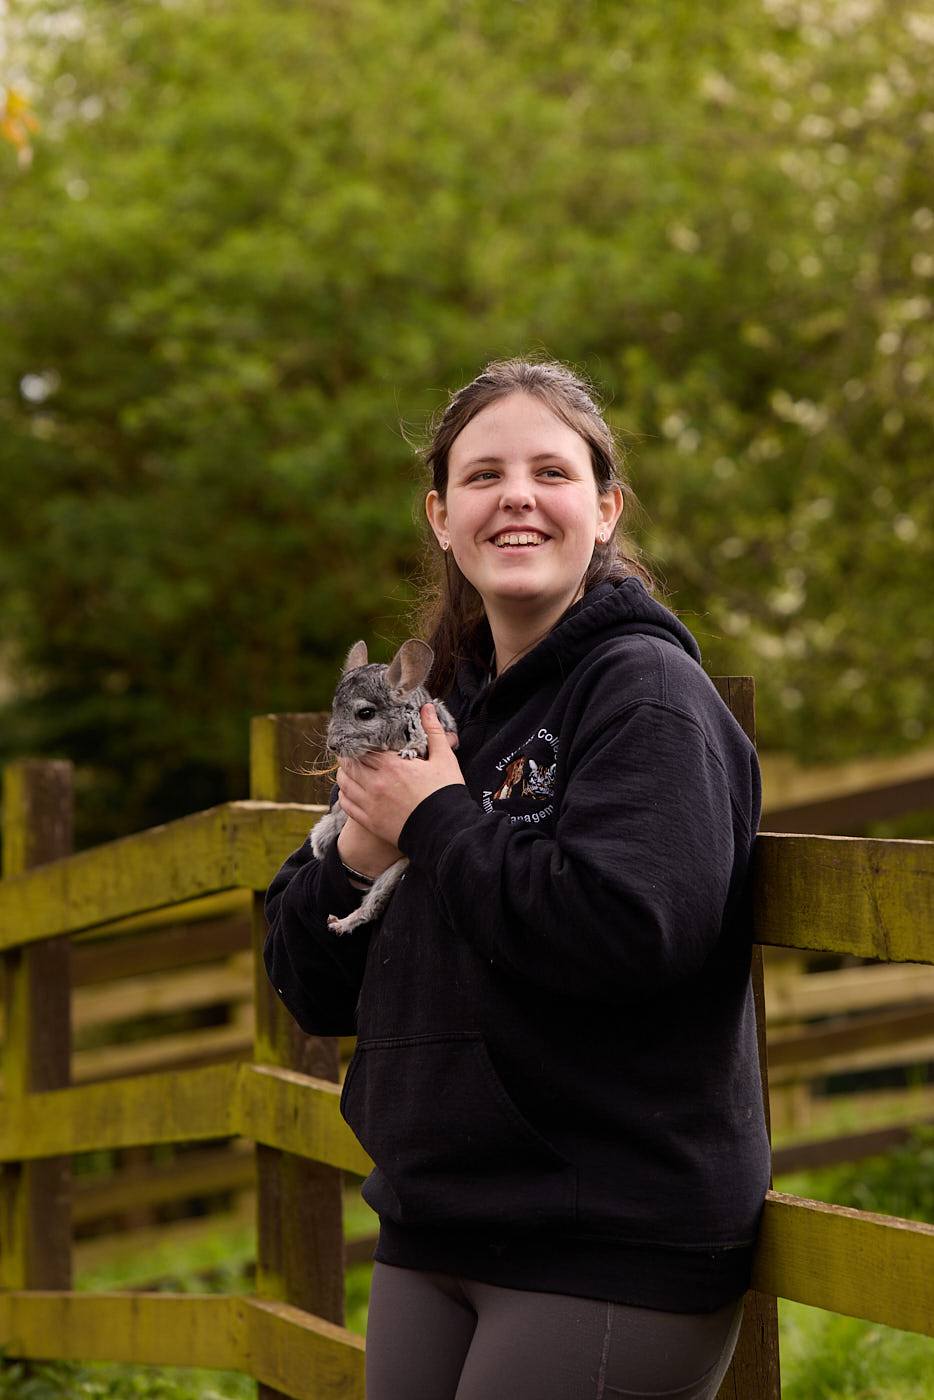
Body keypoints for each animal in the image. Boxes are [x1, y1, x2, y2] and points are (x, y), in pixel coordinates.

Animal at [310, 637, 458, 936]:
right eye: (333, 708)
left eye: (365, 713)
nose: (332, 746)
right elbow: (340, 809)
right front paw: (320, 842)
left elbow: (418, 742)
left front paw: (409, 753)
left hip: (397, 870)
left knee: (372, 909)